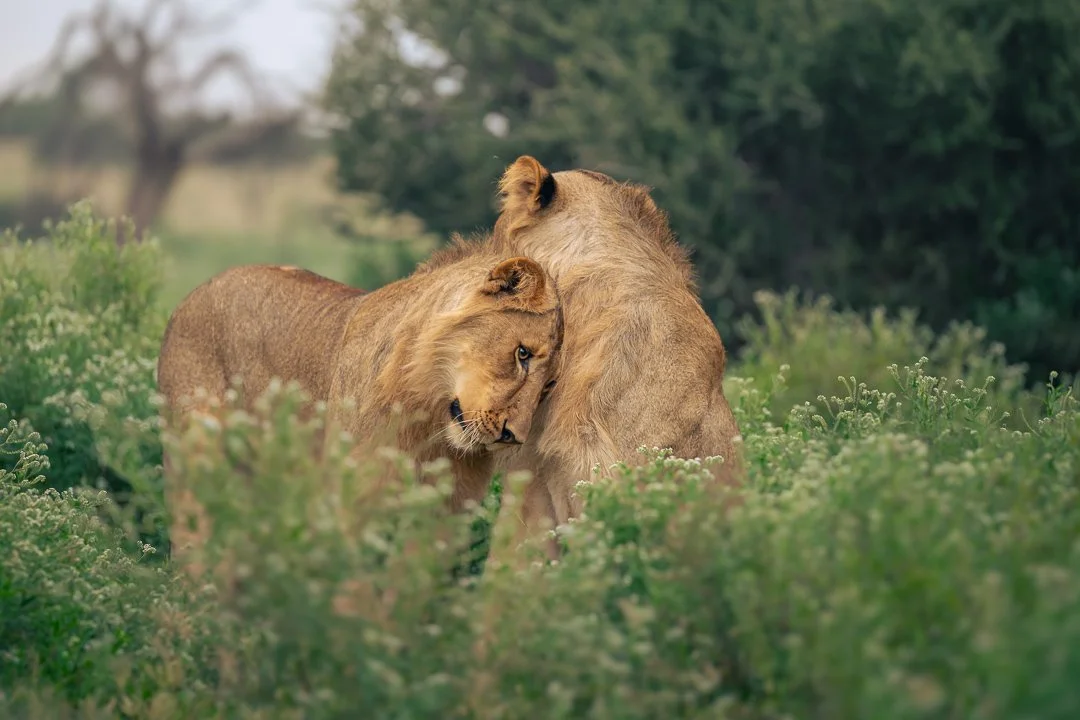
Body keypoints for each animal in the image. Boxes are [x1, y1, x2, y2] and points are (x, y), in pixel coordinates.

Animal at [156, 239, 563, 566]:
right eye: (522, 354)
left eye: (548, 386)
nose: (513, 436)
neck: (427, 418)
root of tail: (193, 293)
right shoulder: (350, 500)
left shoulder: (444, 515)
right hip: (197, 461)